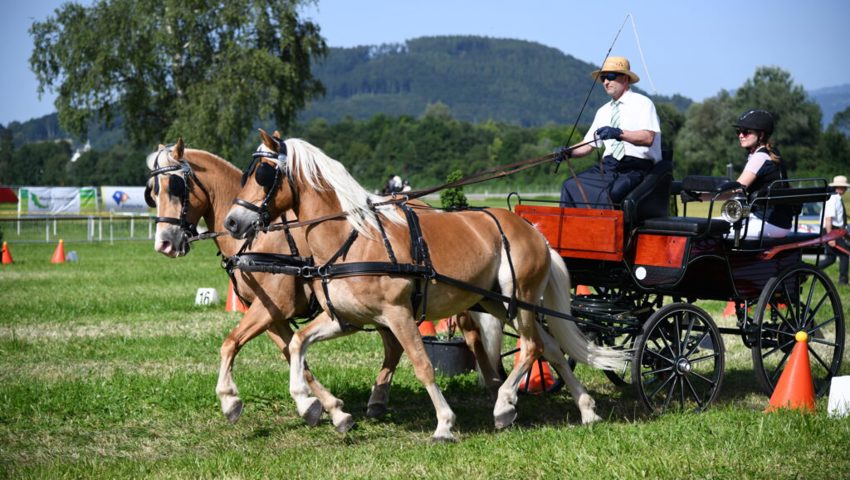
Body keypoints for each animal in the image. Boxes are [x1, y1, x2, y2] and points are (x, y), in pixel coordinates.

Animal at [144, 136, 496, 432]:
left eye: (175, 186)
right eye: (152, 191)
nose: (164, 243)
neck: (260, 238)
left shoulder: (273, 307)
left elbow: (231, 343)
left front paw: (231, 401)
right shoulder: (271, 314)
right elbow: (295, 355)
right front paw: (324, 408)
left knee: (470, 334)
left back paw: (493, 386)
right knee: (394, 345)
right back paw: (378, 400)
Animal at [224, 129, 628, 440]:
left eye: (262, 173)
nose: (231, 222)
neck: (355, 237)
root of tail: (535, 232)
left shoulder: (399, 315)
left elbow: (423, 365)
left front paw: (445, 425)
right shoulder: (344, 318)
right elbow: (297, 343)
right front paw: (307, 403)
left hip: (520, 299)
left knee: (531, 347)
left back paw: (503, 406)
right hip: (498, 303)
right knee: (551, 348)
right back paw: (586, 409)